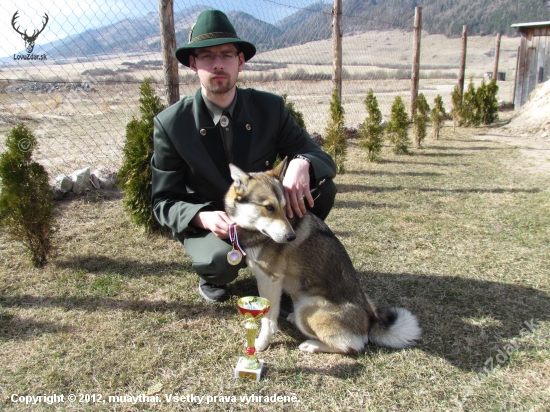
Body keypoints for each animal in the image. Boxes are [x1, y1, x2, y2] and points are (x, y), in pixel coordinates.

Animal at [225, 158, 422, 354]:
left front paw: (259, 344)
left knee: (353, 346)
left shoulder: (270, 279)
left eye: (284, 207)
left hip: (307, 308)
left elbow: (268, 321)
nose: (291, 237)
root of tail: (371, 321)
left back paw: (311, 344)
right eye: (269, 207)